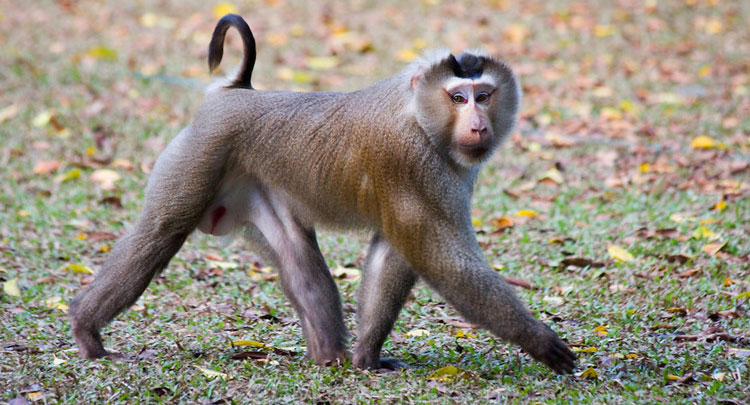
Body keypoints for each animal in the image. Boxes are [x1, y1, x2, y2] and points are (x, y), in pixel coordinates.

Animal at [69, 14, 576, 374]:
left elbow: (395, 252)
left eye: (484, 95)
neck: (419, 115)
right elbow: (438, 256)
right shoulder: (408, 161)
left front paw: (367, 357)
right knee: (161, 231)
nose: (478, 124)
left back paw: (329, 356)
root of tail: (237, 91)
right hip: (202, 150)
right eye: (458, 98)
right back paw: (86, 329)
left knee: (296, 254)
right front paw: (538, 340)